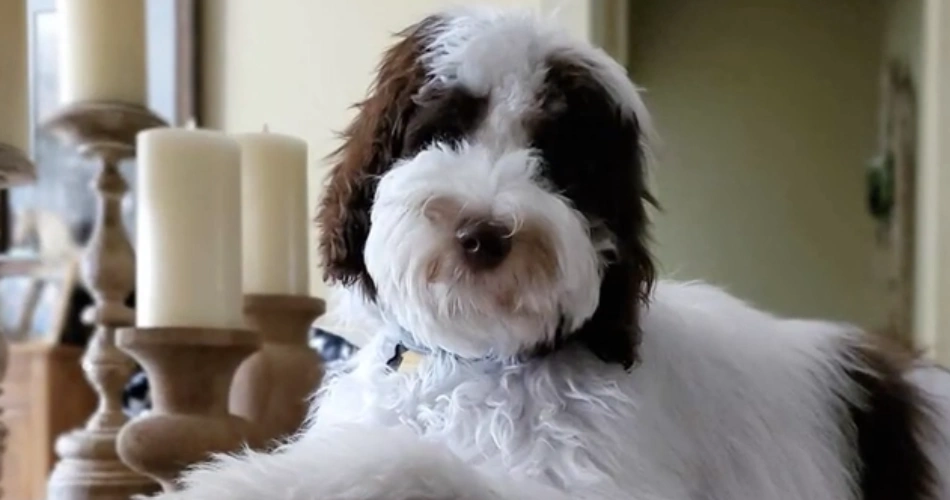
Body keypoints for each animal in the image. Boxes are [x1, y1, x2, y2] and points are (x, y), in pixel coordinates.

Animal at [152, 4, 948, 500]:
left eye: (558, 160)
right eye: (441, 128)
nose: (483, 232)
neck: (478, 361)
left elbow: (412, 464)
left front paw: (233, 482)